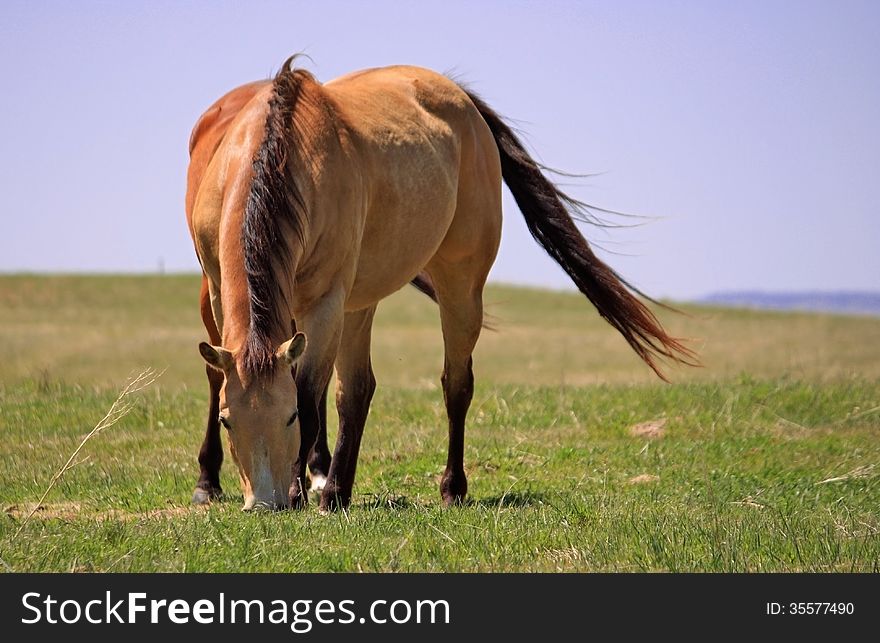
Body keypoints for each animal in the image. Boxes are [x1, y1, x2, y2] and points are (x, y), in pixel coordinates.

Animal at [184, 59, 696, 512]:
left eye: (287, 416)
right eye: (227, 421)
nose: (264, 503)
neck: (281, 158)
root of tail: (461, 99)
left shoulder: (326, 301)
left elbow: (310, 393)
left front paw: (298, 493)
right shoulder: (221, 288)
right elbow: (234, 376)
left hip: (457, 285)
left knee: (454, 384)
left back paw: (444, 488)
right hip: (354, 300)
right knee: (356, 390)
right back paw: (329, 490)